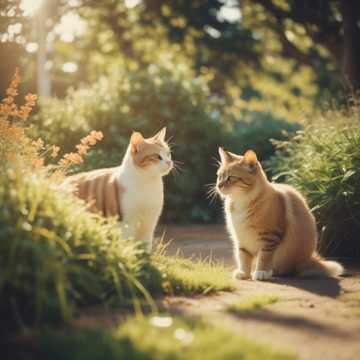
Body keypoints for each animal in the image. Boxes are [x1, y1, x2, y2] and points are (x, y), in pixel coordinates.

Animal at [215, 147, 344, 282]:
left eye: (230, 178)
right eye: (219, 177)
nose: (218, 186)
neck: (241, 202)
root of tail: (310, 258)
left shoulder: (270, 237)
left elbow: (264, 258)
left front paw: (261, 272)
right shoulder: (241, 238)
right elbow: (243, 257)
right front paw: (244, 273)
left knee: (286, 269)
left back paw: (271, 272)